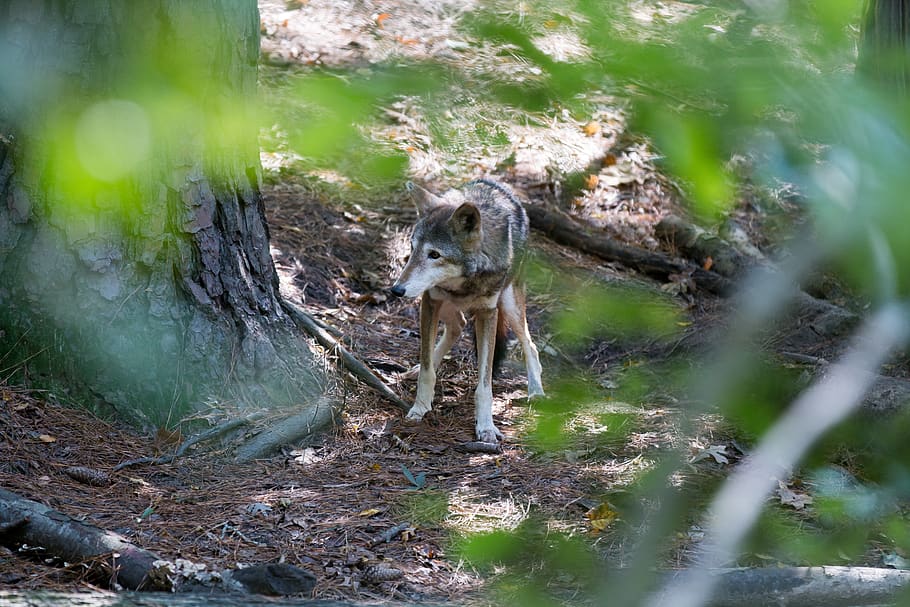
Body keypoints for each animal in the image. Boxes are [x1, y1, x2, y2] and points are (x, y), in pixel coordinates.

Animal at [390, 179, 544, 443]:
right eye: (412, 248)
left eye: (434, 254)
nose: (397, 290)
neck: (463, 282)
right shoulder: (430, 300)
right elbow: (427, 372)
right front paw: (420, 409)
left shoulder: (488, 313)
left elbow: (484, 384)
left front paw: (486, 427)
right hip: (438, 304)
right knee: (458, 326)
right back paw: (419, 366)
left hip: (509, 305)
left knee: (529, 343)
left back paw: (536, 392)